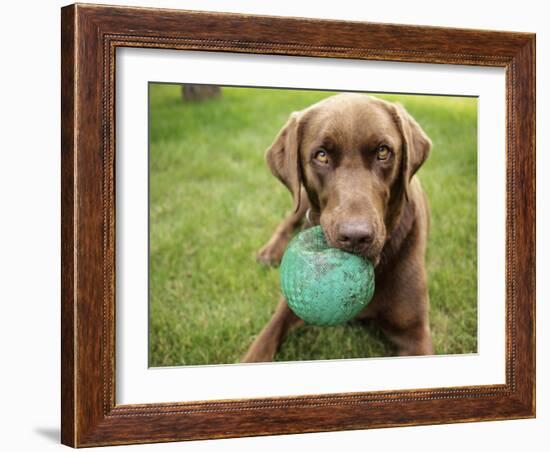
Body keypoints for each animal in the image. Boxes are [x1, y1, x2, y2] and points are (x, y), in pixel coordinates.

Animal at [245, 93, 436, 362]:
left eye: (383, 151)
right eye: (321, 155)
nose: (356, 236)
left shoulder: (415, 332)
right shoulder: (289, 306)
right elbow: (263, 342)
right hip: (300, 200)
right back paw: (269, 252)